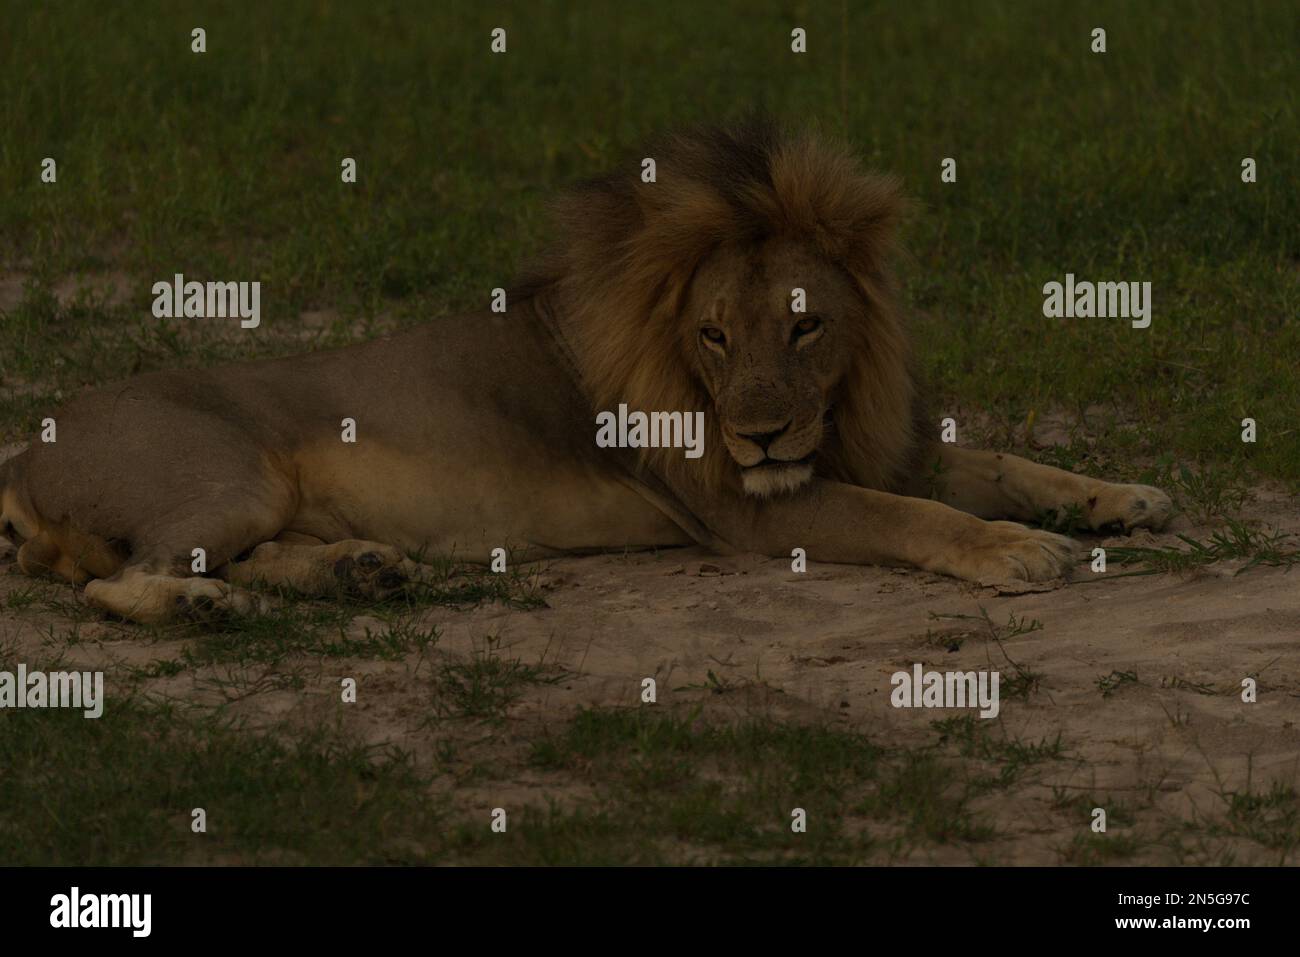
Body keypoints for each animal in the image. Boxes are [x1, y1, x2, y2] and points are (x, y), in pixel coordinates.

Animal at [0, 119, 1175, 624]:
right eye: (712, 335)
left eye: (803, 327)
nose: (759, 435)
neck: (829, 403)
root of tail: (25, 448)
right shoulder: (749, 511)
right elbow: (915, 517)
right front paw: (1017, 552)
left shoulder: (868, 442)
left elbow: (1011, 464)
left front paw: (1124, 498)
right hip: (228, 476)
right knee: (123, 584)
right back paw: (225, 610)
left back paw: (358, 572)